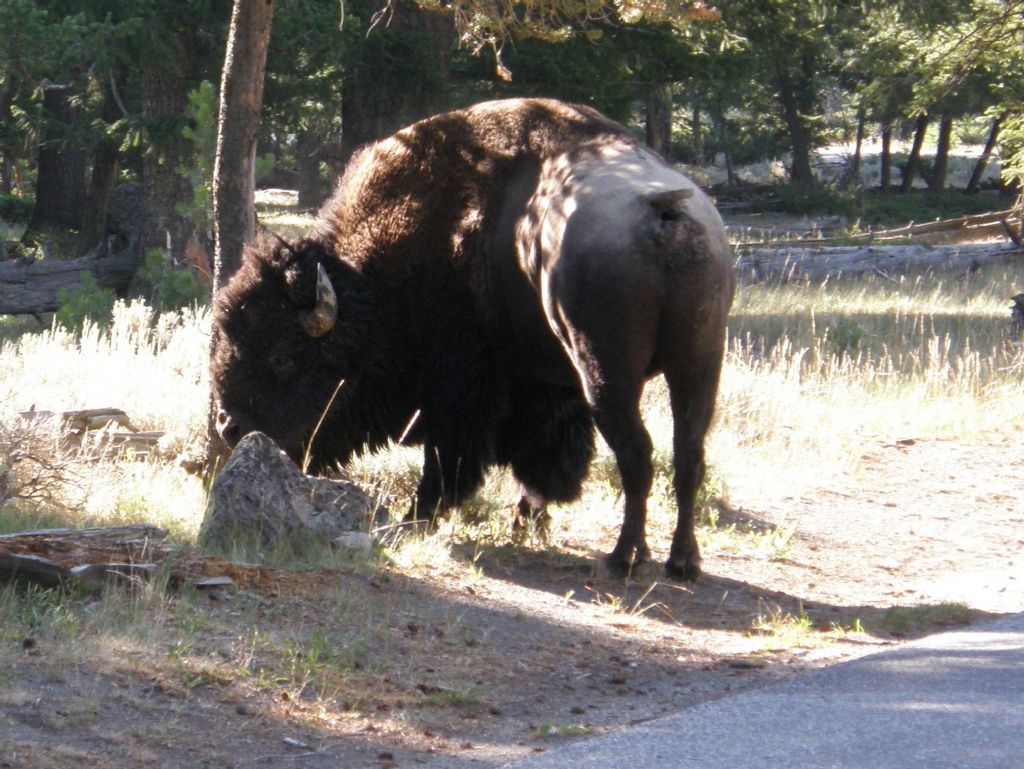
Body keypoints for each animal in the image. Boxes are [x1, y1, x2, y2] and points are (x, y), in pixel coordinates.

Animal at [211, 96, 733, 581]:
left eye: (282, 357)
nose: (231, 428)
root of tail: (665, 218)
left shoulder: (459, 388)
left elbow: (448, 458)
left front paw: (414, 518)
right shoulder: (545, 385)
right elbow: (540, 457)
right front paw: (527, 519)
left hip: (607, 375)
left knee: (637, 453)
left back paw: (624, 557)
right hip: (699, 365)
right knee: (688, 453)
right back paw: (681, 562)